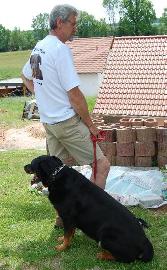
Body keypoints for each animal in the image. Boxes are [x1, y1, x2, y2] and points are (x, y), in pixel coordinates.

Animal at [23, 155, 154, 262]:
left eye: (32, 163)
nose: (24, 166)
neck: (56, 175)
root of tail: (144, 242)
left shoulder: (67, 216)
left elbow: (67, 234)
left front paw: (63, 247)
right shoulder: (71, 220)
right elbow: (70, 233)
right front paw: (64, 240)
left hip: (105, 236)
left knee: (126, 258)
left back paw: (102, 255)